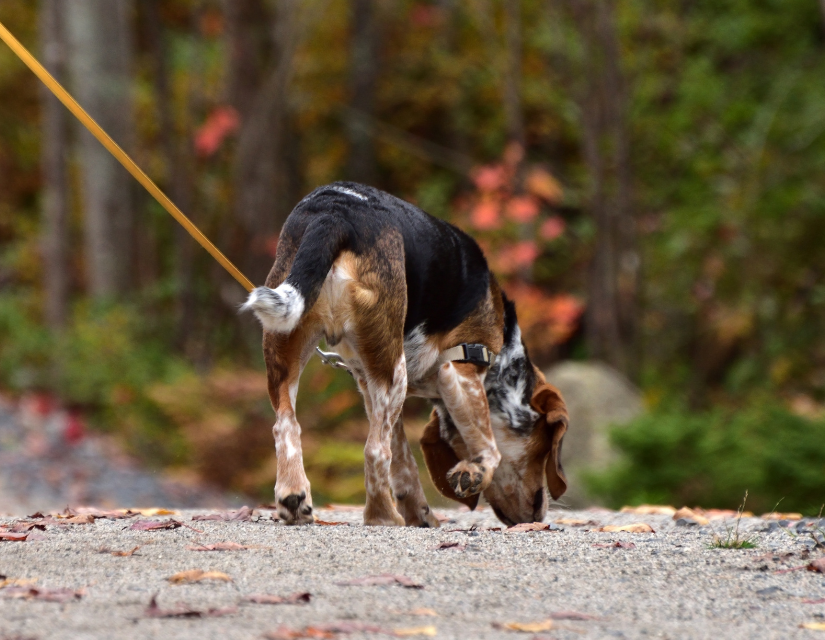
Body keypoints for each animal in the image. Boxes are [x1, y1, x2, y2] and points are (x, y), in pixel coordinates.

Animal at [241, 180, 568, 524]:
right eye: (546, 448)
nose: (539, 515)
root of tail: (334, 212)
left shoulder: (369, 384)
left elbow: (403, 464)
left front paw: (420, 515)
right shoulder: (460, 369)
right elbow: (488, 448)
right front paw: (473, 472)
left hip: (292, 348)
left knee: (286, 426)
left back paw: (294, 497)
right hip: (393, 372)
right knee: (373, 451)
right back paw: (382, 517)